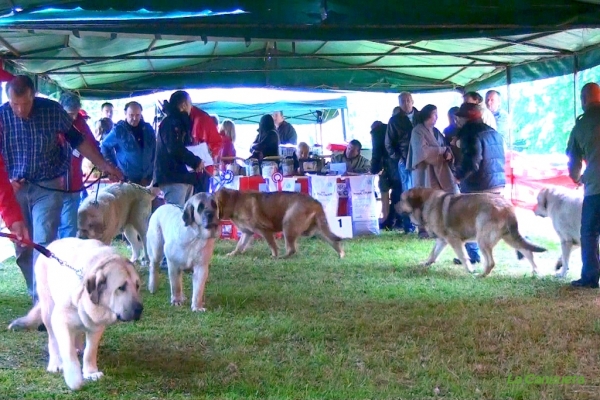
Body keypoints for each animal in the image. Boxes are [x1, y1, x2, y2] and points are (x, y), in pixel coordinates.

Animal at [7, 238, 143, 390]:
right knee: (53, 339)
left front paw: (91, 372)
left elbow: (90, 351)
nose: (139, 309)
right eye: (121, 287)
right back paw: (56, 362)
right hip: (48, 310)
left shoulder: (97, 325)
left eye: (137, 286)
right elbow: (67, 350)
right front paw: (74, 379)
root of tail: (50, 246)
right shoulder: (60, 320)